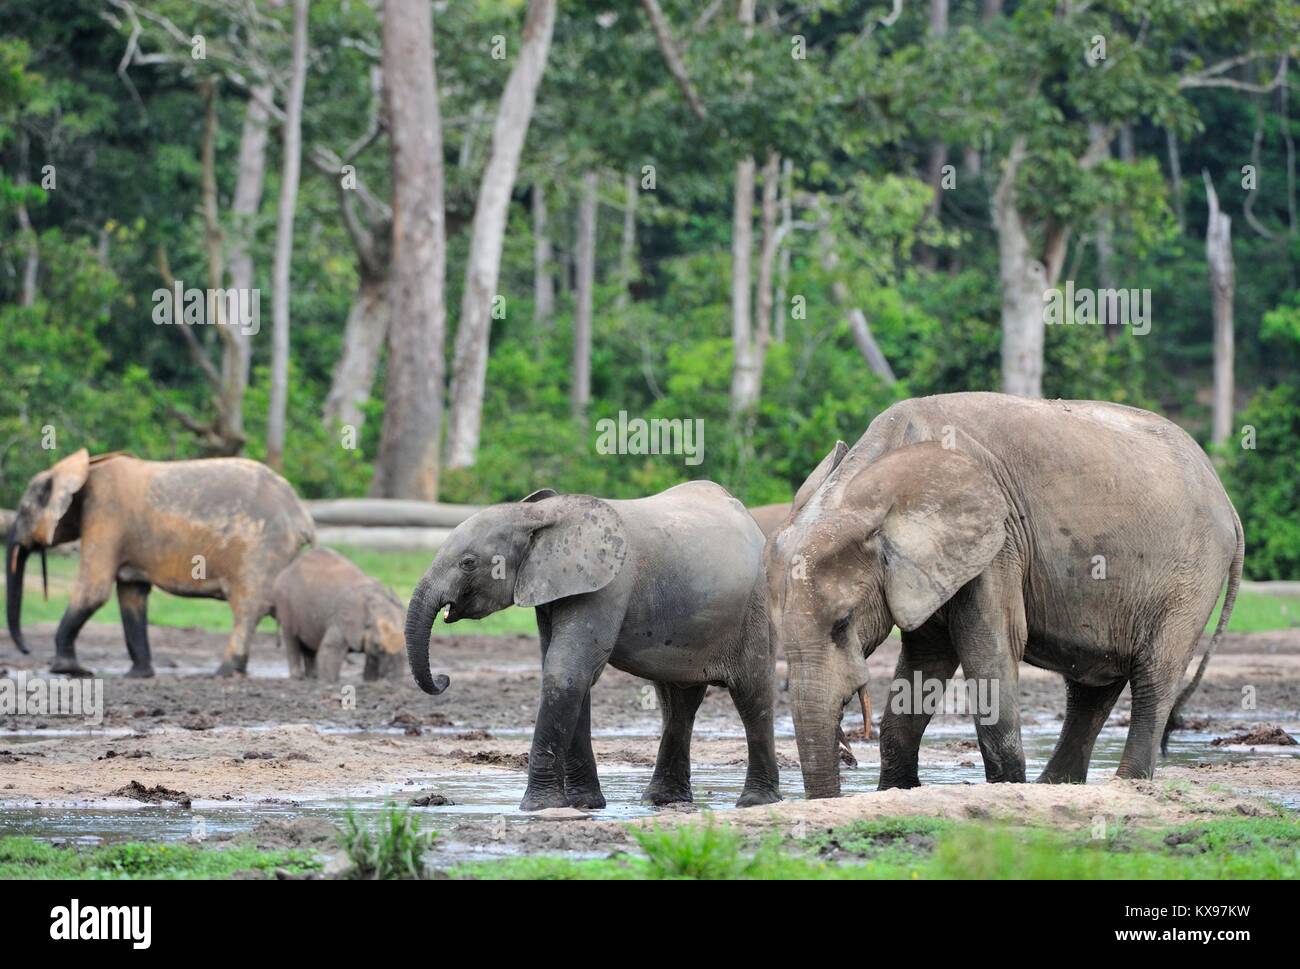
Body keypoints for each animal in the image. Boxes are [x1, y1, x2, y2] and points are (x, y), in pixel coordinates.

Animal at [6, 449, 315, 677]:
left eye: (23, 511)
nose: (26, 650)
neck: (84, 467)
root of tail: (303, 516)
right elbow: (132, 593)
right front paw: (138, 675)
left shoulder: (104, 514)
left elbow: (93, 591)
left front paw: (67, 671)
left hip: (261, 550)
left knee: (248, 608)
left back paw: (224, 672)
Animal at [271, 548, 405, 682]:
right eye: (379, 647)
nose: (393, 679)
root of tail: (287, 569)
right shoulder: (341, 620)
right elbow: (329, 649)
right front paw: (328, 682)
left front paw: (370, 682)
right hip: (284, 602)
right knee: (291, 638)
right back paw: (298, 677)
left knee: (309, 644)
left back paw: (313, 676)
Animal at [404, 481, 781, 812]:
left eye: (468, 563)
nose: (443, 679)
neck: (540, 515)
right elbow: (572, 676)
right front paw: (584, 804)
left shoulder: (606, 586)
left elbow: (566, 671)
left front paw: (538, 808)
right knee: (678, 703)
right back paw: (662, 801)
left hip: (755, 610)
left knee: (752, 696)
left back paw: (756, 801)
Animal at [765, 392, 1243, 798]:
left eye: (843, 622)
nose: (846, 757)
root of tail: (1228, 501)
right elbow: (926, 661)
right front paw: (896, 792)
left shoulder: (998, 543)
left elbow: (989, 647)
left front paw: (1007, 788)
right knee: (1092, 688)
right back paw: (1057, 787)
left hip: (1191, 573)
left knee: (1153, 678)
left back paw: (1123, 784)